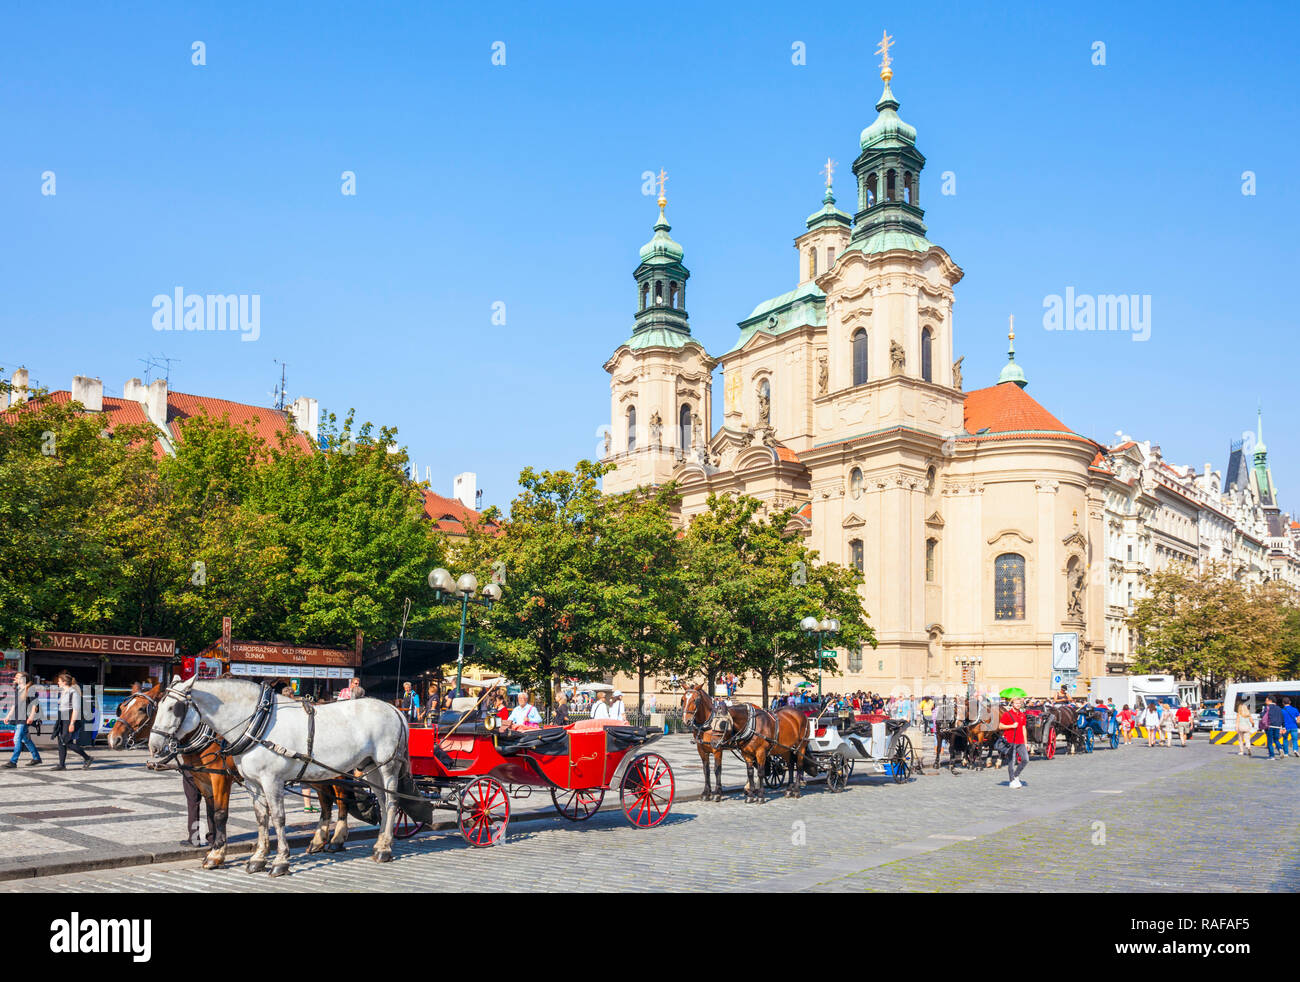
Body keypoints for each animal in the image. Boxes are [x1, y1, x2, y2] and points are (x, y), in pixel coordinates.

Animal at [109, 681, 369, 868]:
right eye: (122, 707)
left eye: (142, 709)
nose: (113, 739)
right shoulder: (203, 779)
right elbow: (211, 812)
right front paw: (213, 846)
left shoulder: (220, 778)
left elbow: (221, 814)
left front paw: (217, 854)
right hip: (312, 772)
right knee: (325, 800)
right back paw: (317, 840)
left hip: (335, 771)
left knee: (340, 797)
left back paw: (337, 839)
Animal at [147, 681, 431, 879]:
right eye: (157, 707)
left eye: (174, 708)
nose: (153, 747)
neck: (256, 723)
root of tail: (394, 708)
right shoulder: (252, 783)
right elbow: (261, 818)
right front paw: (258, 859)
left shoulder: (270, 780)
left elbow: (277, 818)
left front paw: (280, 861)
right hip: (369, 766)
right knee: (379, 801)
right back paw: (376, 843)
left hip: (387, 766)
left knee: (390, 803)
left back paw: (382, 849)